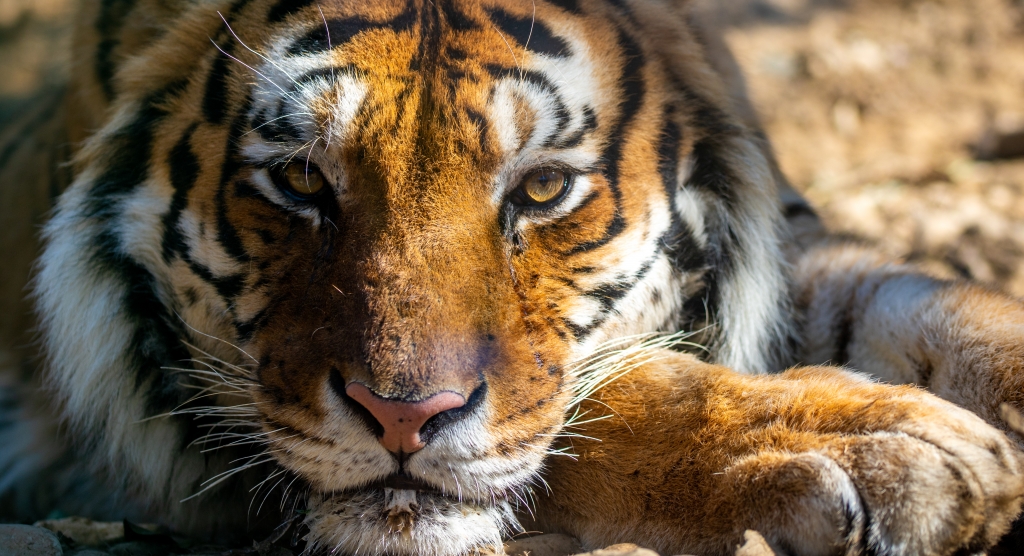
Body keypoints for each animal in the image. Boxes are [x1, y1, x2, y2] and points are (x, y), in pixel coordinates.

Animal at [2, 0, 1024, 555]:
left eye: (540, 187)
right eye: (300, 178)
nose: (401, 416)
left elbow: (925, 299)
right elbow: (612, 395)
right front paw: (885, 447)